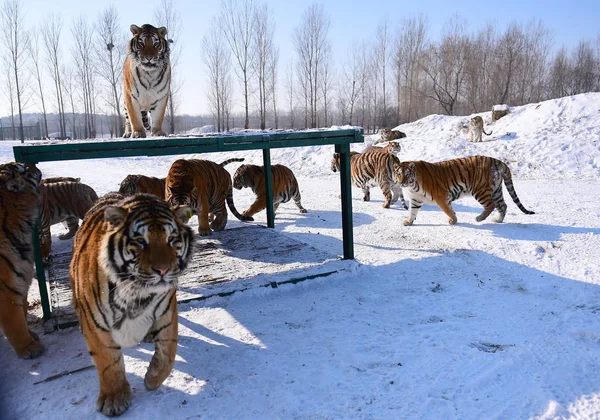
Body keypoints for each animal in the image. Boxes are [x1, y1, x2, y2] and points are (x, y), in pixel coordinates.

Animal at [69, 194, 193, 416]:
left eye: (171, 239)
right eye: (140, 241)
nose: (163, 270)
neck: (138, 293)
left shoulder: (166, 311)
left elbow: (168, 353)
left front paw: (152, 379)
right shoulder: (94, 325)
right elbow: (108, 362)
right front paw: (114, 399)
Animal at [394, 155, 536, 226]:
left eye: (407, 174)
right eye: (399, 174)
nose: (402, 182)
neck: (412, 186)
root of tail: (497, 161)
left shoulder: (441, 196)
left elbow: (448, 210)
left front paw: (453, 220)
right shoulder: (415, 199)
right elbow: (413, 211)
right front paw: (408, 222)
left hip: (480, 190)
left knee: (491, 205)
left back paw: (479, 218)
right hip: (496, 190)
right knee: (503, 205)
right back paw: (497, 220)